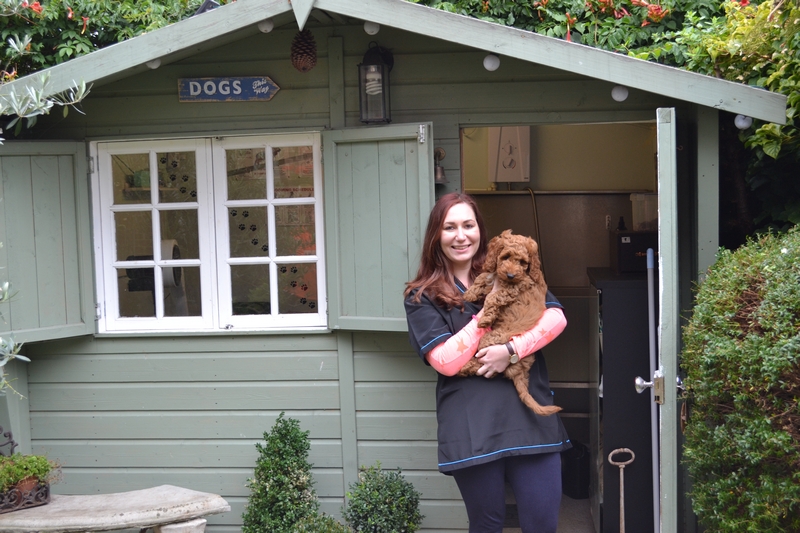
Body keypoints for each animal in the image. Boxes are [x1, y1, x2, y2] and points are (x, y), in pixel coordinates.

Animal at [456, 229, 564, 416]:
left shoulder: (514, 287)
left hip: (489, 340)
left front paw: (484, 319)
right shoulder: (496, 275)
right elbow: (483, 277)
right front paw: (469, 294)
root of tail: (519, 371)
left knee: (484, 367)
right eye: (506, 257)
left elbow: (493, 296)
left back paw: (463, 368)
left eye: (522, 262)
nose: (511, 275)